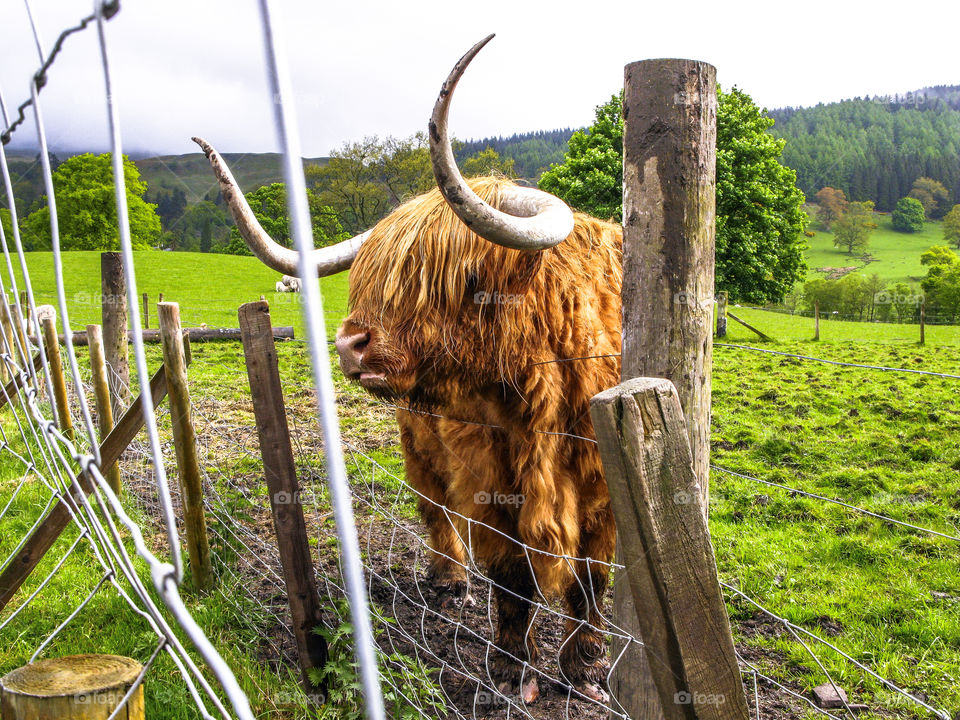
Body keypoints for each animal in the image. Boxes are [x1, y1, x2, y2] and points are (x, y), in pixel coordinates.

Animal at [195, 35, 621, 705]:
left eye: (462, 278)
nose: (349, 345)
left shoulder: (603, 489)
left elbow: (590, 585)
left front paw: (584, 670)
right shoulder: (492, 482)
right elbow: (512, 580)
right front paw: (509, 672)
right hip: (420, 444)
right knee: (435, 509)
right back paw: (449, 581)